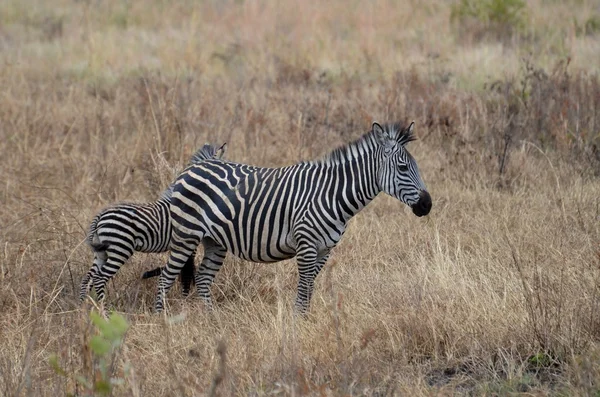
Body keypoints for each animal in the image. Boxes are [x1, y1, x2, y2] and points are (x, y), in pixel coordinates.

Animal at [79, 142, 227, 304]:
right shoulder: (188, 241)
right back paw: (104, 308)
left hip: (101, 253)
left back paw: (82, 307)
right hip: (120, 248)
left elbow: (183, 270)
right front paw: (184, 297)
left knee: (87, 279)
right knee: (99, 278)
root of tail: (100, 216)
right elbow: (187, 271)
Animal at [155, 120, 432, 312]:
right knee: (165, 279)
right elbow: (303, 289)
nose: (427, 205)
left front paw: (305, 321)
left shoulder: (324, 249)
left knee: (203, 279)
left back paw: (213, 319)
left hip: (214, 241)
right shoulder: (306, 245)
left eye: (416, 166)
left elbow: (309, 288)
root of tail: (194, 166)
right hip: (186, 235)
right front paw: (298, 324)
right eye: (403, 167)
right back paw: (163, 320)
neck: (333, 194)